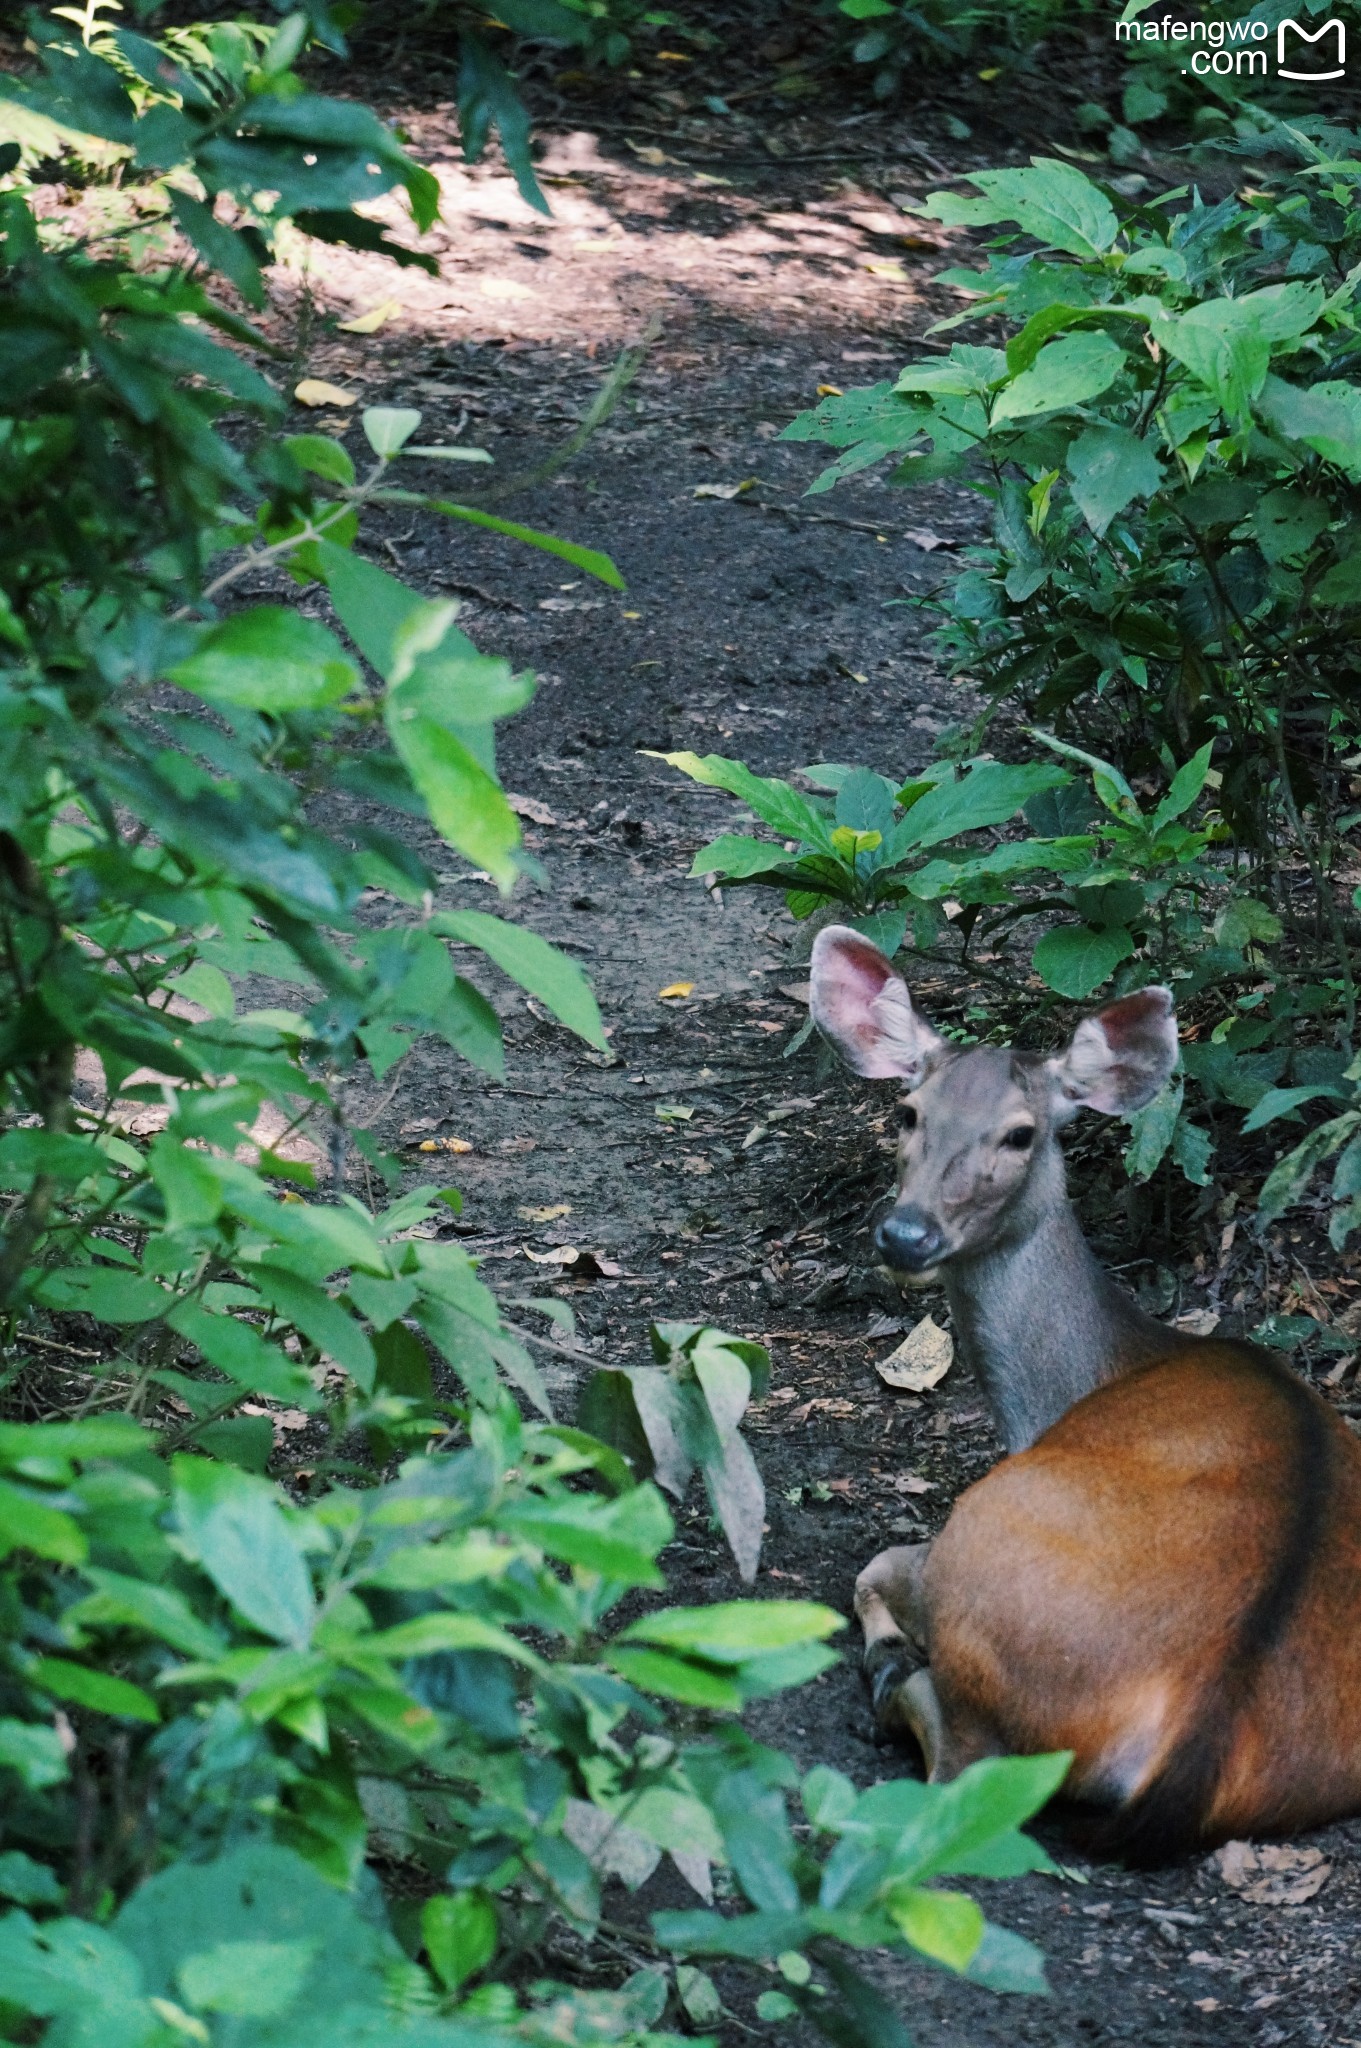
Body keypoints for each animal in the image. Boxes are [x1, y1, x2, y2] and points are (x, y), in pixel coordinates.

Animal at [806, 925, 1358, 1859]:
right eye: (908, 1112)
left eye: (1020, 1134)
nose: (904, 1233)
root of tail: (1194, 1731)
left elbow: (869, 1565)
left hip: (977, 1555)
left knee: (958, 1768)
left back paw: (889, 1678)